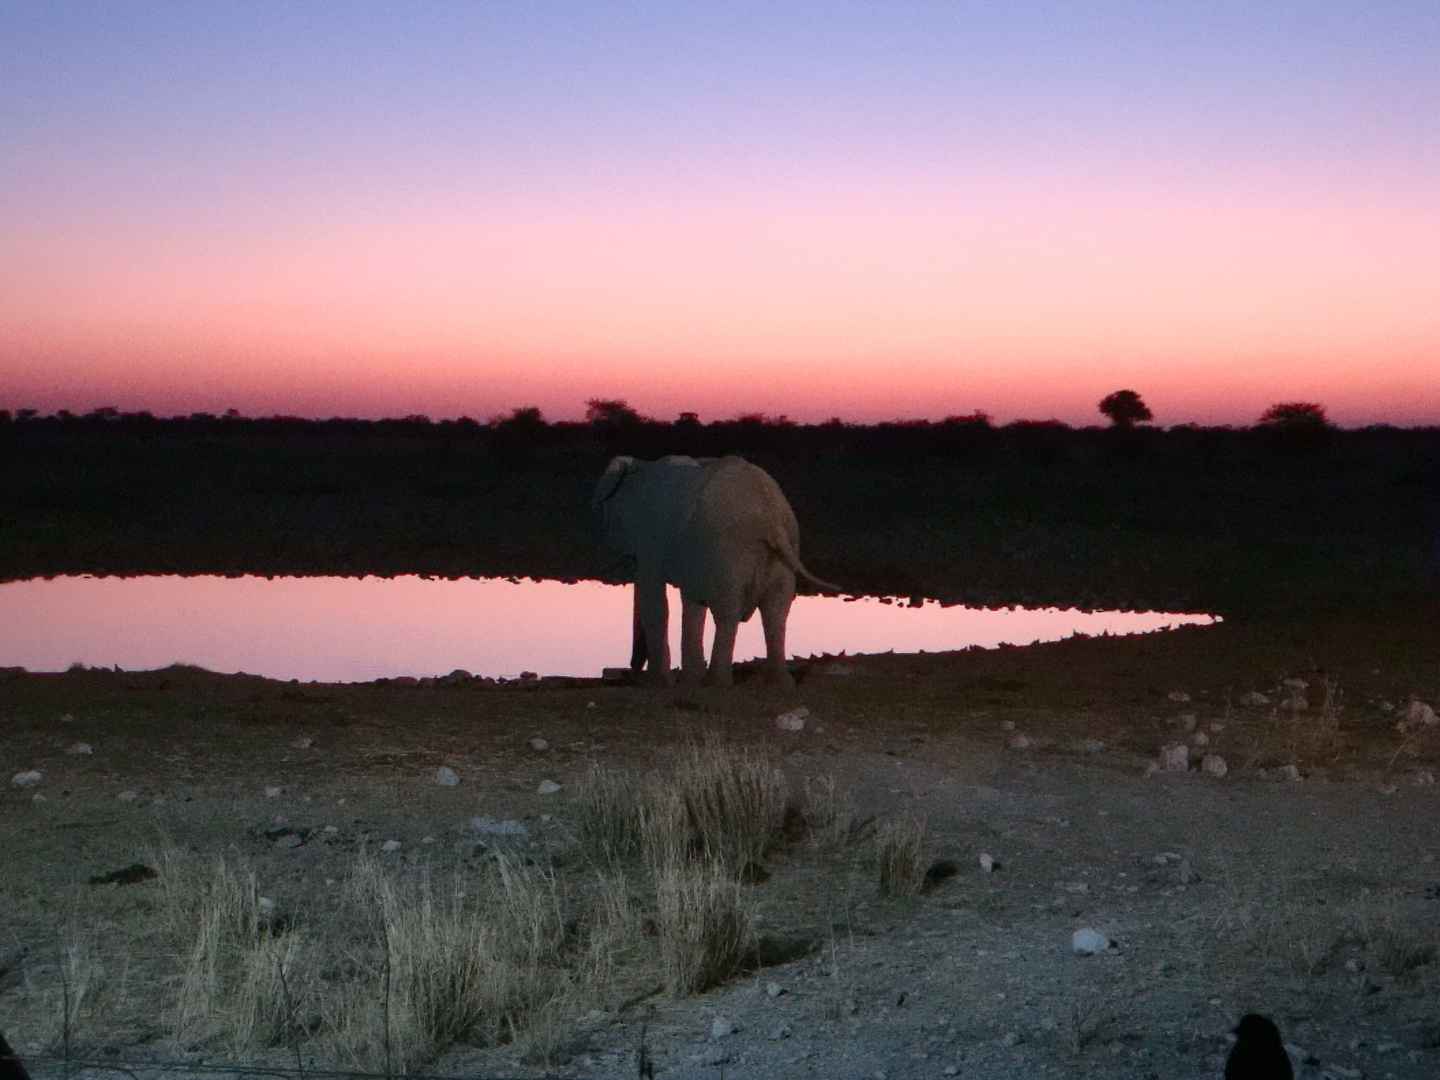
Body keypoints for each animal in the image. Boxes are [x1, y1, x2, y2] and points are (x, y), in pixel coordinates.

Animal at [593, 455, 840, 688]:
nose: (630, 672)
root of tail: (769, 517)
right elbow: (691, 603)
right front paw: (684, 681)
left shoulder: (649, 540)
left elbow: (655, 601)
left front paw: (660, 683)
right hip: (782, 548)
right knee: (776, 610)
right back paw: (779, 684)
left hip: (729, 550)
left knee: (728, 611)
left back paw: (716, 682)